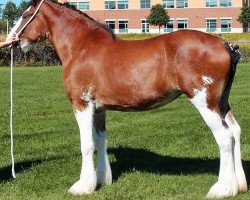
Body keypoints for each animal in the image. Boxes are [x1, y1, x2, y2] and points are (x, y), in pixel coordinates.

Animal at [6, 0, 247, 198]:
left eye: (25, 15)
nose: (11, 42)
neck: (82, 47)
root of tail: (225, 45)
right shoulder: (99, 108)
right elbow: (100, 141)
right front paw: (102, 179)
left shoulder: (81, 105)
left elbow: (87, 144)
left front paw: (83, 186)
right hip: (221, 103)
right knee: (235, 131)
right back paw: (238, 185)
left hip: (205, 102)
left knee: (224, 137)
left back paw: (222, 189)